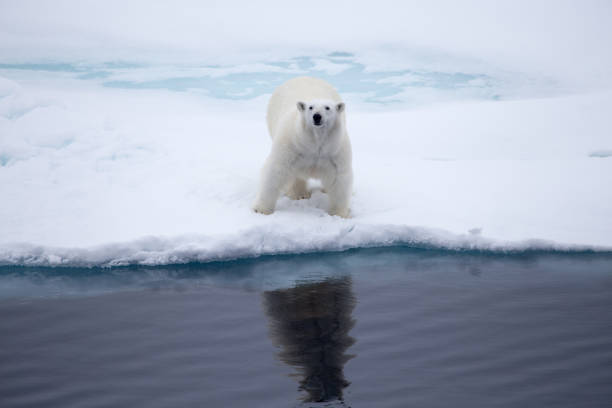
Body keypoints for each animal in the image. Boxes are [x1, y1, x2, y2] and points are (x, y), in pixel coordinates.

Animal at [251, 76, 352, 217]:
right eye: (310, 107)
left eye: (327, 108)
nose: (317, 116)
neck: (314, 142)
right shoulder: (292, 145)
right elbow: (276, 171)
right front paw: (261, 209)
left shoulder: (334, 151)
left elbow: (339, 178)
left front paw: (339, 213)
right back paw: (299, 194)